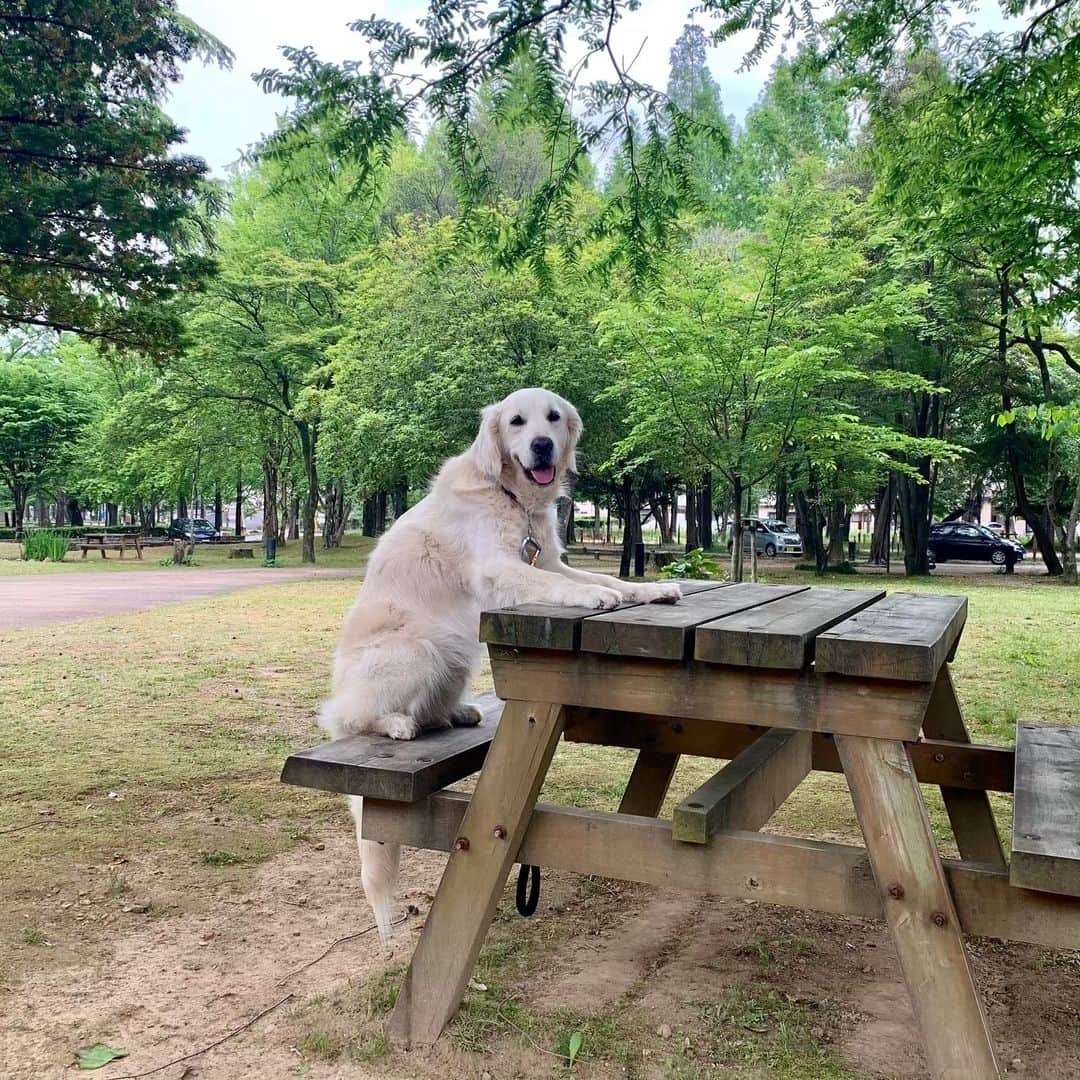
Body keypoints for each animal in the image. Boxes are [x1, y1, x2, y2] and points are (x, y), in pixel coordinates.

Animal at [315, 388, 678, 937]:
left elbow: (610, 579)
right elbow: (563, 585)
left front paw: (650, 590)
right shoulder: (502, 568)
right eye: (516, 422)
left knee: (431, 707)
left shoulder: (549, 558)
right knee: (358, 716)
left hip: (458, 655)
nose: (543, 445)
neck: (512, 497)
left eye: (553, 418)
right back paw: (397, 724)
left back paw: (456, 712)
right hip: (421, 648)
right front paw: (594, 596)